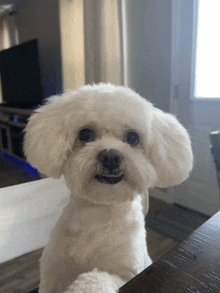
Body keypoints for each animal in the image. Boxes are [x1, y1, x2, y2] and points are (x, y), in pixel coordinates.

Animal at [23, 82, 192, 292]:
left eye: (133, 138)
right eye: (85, 134)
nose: (110, 156)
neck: (100, 209)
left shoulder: (126, 274)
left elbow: (96, 278)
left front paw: (83, 287)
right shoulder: (54, 271)